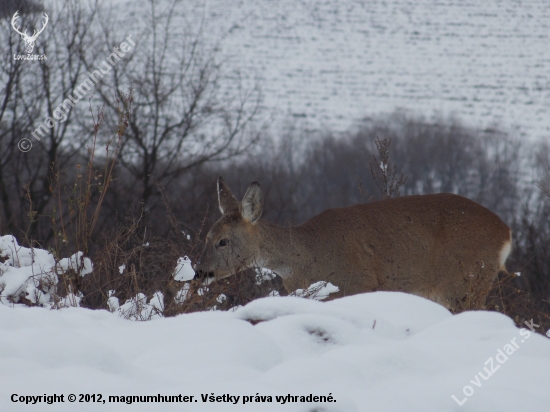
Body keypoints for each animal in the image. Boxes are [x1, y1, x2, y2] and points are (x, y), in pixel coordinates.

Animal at [195, 177, 512, 308]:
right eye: (207, 236)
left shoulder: (359, 282)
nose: (200, 272)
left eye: (223, 241)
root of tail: (506, 233)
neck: (305, 258)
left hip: (465, 282)